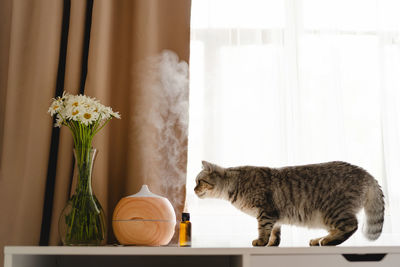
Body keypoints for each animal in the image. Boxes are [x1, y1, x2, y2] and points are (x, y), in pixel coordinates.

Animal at [194, 161, 384, 247]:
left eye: (199, 181)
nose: (194, 189)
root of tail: (366, 173)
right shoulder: (274, 217)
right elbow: (274, 233)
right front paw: (272, 244)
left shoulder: (265, 212)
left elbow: (263, 230)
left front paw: (261, 242)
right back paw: (319, 239)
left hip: (332, 211)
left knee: (351, 225)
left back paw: (328, 241)